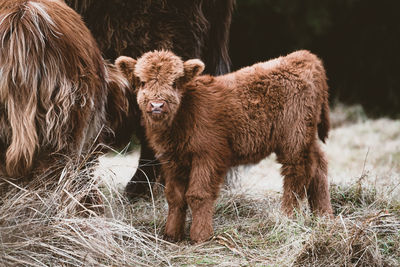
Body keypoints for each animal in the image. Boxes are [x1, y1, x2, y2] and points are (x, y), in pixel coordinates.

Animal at [116, 50, 334, 245]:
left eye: (175, 82)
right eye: (141, 81)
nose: (157, 105)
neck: (185, 114)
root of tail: (303, 57)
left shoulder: (208, 156)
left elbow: (198, 194)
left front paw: (200, 236)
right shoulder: (172, 161)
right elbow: (175, 196)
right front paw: (171, 234)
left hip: (294, 138)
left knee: (297, 173)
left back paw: (288, 217)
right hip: (306, 137)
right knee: (319, 165)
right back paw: (324, 217)